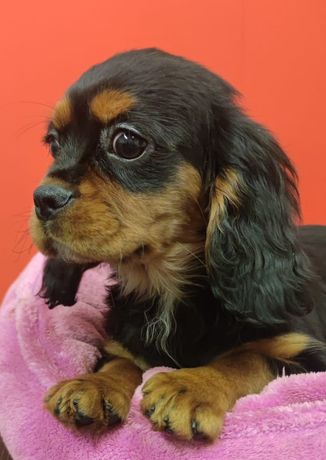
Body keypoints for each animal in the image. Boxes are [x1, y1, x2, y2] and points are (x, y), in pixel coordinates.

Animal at [29, 49, 326, 442]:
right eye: (54, 143)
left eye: (127, 143)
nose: (43, 199)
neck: (163, 287)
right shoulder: (120, 342)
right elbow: (121, 360)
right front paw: (94, 384)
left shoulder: (308, 356)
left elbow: (247, 357)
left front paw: (192, 386)